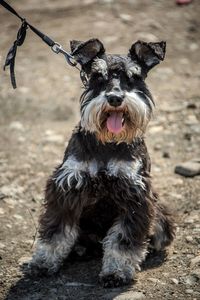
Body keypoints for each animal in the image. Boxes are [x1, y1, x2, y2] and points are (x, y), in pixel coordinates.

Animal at [28, 38, 175, 288]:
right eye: (98, 76)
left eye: (134, 77)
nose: (115, 98)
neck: (108, 143)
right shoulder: (67, 187)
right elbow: (55, 232)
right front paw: (43, 262)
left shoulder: (135, 194)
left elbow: (123, 240)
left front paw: (116, 271)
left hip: (160, 216)